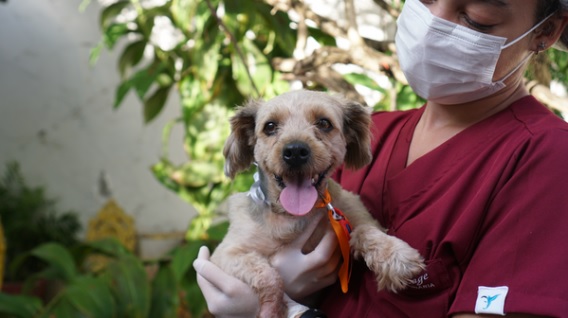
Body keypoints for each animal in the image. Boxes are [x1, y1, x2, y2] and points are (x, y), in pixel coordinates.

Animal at [213, 90, 426, 318]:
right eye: (269, 126)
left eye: (324, 123)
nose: (295, 151)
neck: (295, 216)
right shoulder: (226, 255)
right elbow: (268, 276)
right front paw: (272, 308)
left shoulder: (352, 215)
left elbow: (365, 230)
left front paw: (396, 256)